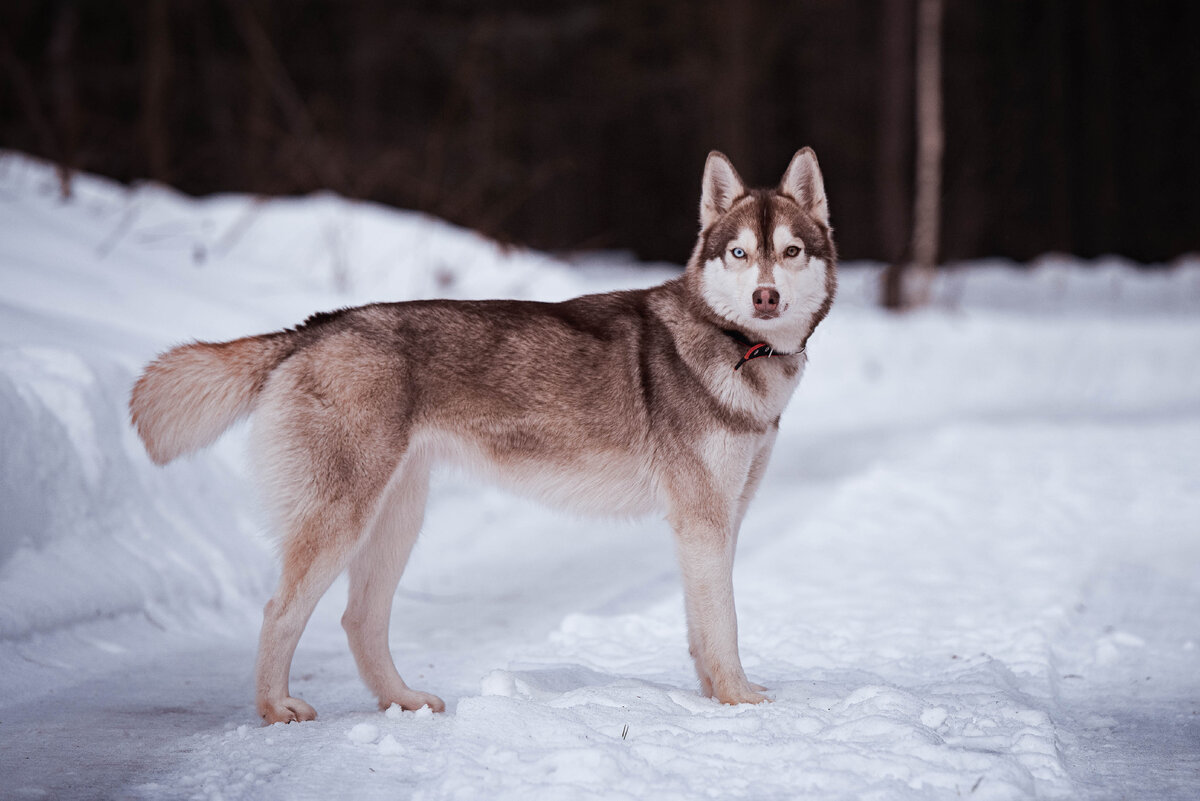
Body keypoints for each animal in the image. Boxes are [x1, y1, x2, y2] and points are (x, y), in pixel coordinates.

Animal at [129, 146, 835, 724]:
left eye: (790, 252)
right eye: (739, 253)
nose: (766, 298)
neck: (737, 346)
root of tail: (314, 328)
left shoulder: (720, 518)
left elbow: (701, 628)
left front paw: (714, 697)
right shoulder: (702, 519)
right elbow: (725, 623)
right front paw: (739, 700)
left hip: (396, 518)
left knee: (360, 618)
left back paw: (403, 702)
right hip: (340, 519)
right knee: (280, 611)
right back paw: (276, 708)